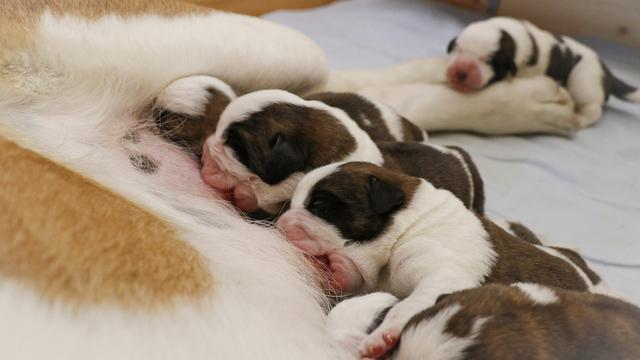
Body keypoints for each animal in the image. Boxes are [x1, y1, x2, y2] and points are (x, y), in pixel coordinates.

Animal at [278, 162, 608, 358]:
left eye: (321, 208)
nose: (281, 224)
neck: (407, 227)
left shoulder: (441, 275)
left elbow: (407, 306)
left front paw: (383, 335)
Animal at [444, 17, 640, 129]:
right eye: (457, 49)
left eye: (489, 61)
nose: (461, 71)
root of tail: (607, 71)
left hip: (584, 80)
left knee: (593, 109)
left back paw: (580, 118)